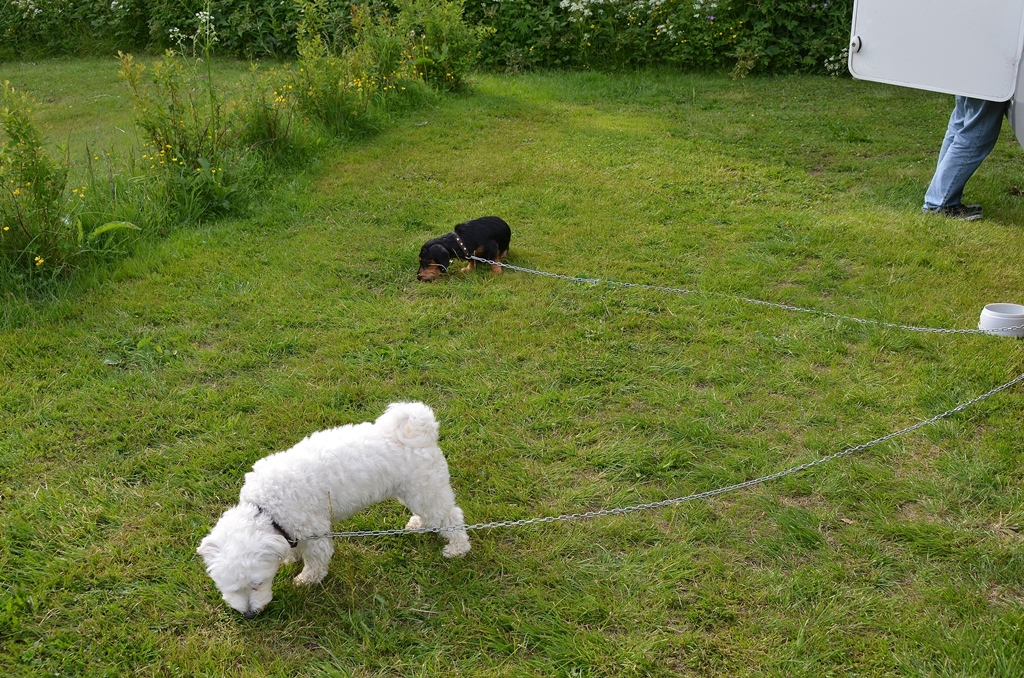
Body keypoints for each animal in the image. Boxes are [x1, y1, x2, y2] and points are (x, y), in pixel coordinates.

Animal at [195, 403, 471, 622]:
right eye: (232, 588)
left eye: (257, 584)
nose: (250, 614)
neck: (266, 508)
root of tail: (418, 429)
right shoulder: (291, 530)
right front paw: (290, 558)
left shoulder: (315, 533)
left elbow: (316, 562)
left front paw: (306, 580)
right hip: (415, 490)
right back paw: (418, 525)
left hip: (425, 489)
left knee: (451, 517)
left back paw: (457, 548)